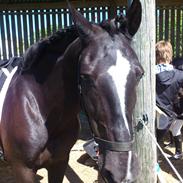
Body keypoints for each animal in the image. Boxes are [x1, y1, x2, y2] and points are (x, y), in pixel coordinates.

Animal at [0, 0, 143, 182]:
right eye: (85, 77)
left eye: (140, 74)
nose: (122, 171)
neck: (37, 104)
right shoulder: (22, 170)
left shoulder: (60, 162)